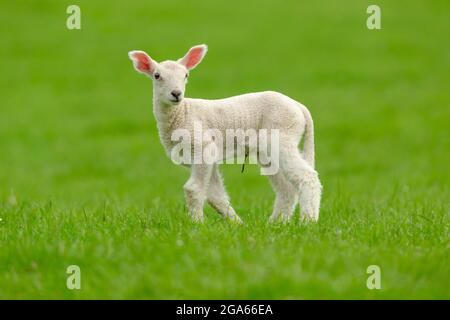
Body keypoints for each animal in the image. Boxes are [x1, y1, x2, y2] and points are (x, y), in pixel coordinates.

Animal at [128, 43, 322, 224]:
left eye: (186, 75)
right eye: (157, 76)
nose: (176, 93)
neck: (182, 113)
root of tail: (298, 106)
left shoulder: (202, 147)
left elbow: (193, 189)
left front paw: (197, 224)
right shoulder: (204, 157)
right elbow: (215, 196)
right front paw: (237, 224)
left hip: (282, 137)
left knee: (308, 177)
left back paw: (307, 221)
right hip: (267, 151)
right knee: (287, 189)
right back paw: (277, 222)